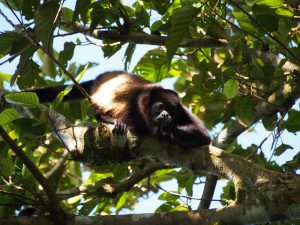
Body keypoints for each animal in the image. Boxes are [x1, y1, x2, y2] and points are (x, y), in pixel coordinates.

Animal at [29, 71, 210, 147]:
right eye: (160, 107)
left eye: (171, 110)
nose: (165, 114)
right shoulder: (136, 105)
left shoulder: (182, 110)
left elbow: (205, 137)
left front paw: (169, 126)